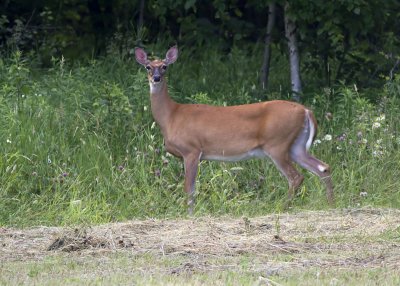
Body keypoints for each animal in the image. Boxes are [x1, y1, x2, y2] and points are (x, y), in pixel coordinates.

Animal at [136, 46, 332, 214]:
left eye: (164, 67)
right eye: (147, 67)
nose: (156, 78)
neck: (171, 116)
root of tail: (306, 111)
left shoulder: (191, 150)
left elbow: (189, 188)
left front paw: (189, 213)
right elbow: (191, 187)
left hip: (278, 144)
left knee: (296, 177)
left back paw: (283, 207)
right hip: (296, 146)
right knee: (323, 168)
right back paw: (331, 202)